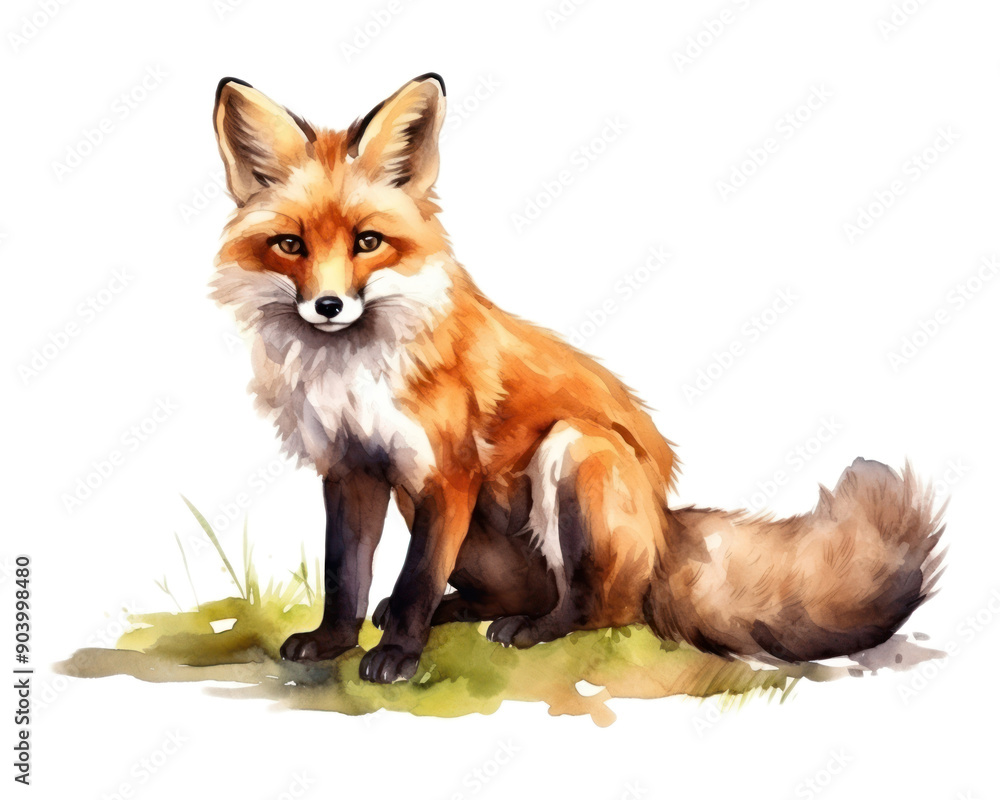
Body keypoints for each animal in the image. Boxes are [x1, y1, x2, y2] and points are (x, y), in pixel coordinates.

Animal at [210, 74, 945, 684]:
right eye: (291, 245)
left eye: (366, 242)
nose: (329, 306)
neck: (352, 372)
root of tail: (666, 529)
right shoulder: (351, 468)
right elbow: (344, 575)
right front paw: (335, 642)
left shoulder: (447, 473)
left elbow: (419, 577)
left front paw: (396, 658)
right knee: (505, 593)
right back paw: (452, 613)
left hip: (574, 449)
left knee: (598, 610)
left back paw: (526, 630)